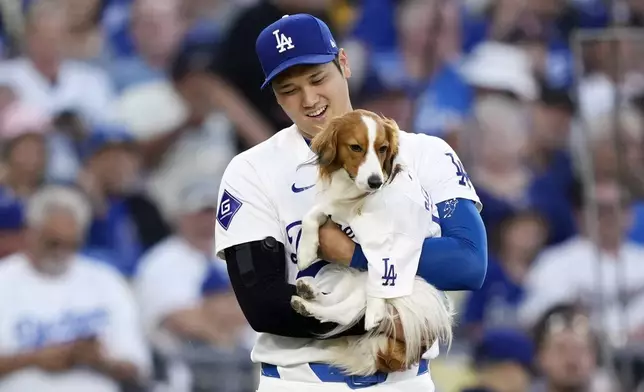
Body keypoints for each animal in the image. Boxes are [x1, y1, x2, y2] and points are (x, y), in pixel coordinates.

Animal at [292, 109, 452, 376]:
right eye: (356, 147)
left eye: (383, 148)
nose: (375, 181)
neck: (358, 197)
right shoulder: (336, 208)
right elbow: (312, 214)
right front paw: (306, 250)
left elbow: (384, 266)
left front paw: (376, 311)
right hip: (352, 277)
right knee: (338, 302)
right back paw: (308, 293)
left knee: (346, 313)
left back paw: (312, 306)